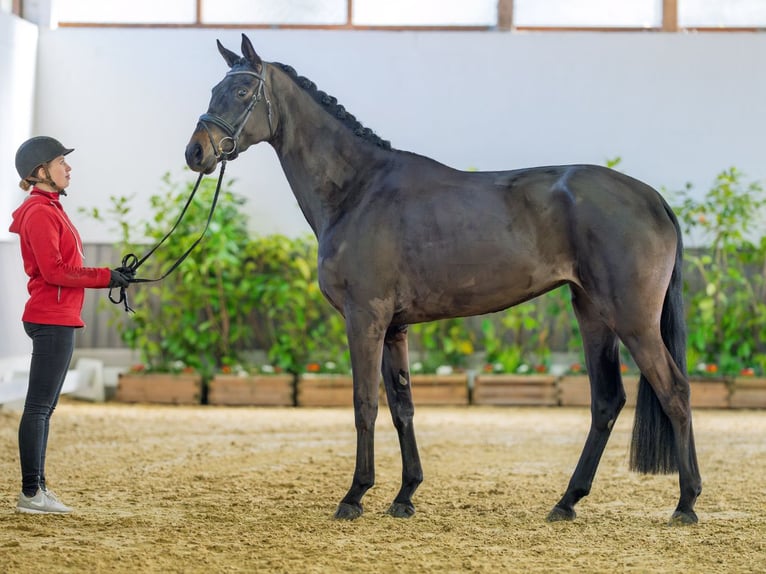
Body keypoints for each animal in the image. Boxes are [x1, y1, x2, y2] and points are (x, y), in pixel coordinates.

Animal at [184, 32, 704, 528]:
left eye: (243, 90)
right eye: (213, 89)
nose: (196, 152)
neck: (358, 190)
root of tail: (652, 198)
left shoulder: (364, 318)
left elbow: (364, 404)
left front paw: (355, 496)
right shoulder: (394, 327)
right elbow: (402, 406)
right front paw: (405, 495)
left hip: (632, 319)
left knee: (675, 392)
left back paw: (685, 504)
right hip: (592, 312)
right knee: (607, 401)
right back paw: (567, 502)